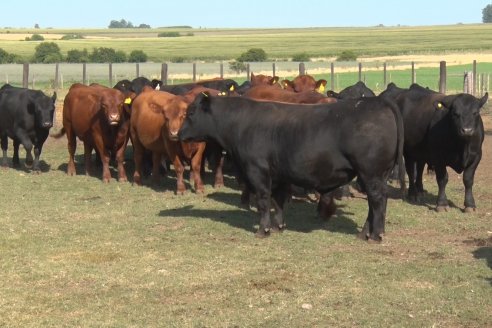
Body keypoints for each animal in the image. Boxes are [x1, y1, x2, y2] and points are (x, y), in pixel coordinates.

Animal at [178, 93, 404, 240]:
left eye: (191, 113)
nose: (177, 134)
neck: (240, 124)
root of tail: (378, 101)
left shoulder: (258, 171)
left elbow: (263, 201)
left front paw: (263, 230)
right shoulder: (279, 175)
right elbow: (278, 201)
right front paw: (279, 226)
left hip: (371, 173)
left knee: (377, 201)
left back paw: (375, 235)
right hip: (376, 175)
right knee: (374, 204)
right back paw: (364, 233)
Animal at [388, 84, 488, 213]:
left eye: (475, 113)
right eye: (455, 113)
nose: (467, 130)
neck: (462, 146)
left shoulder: (476, 157)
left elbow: (468, 179)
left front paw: (470, 205)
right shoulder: (438, 158)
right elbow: (442, 179)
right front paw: (442, 203)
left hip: (421, 152)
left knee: (419, 169)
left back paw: (420, 190)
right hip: (408, 150)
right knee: (410, 171)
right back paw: (413, 193)